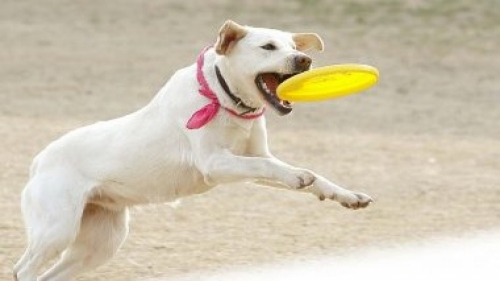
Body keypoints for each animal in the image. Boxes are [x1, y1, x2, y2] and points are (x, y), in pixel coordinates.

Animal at [13, 20, 372, 278]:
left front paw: (345, 195)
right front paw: (299, 177)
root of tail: (39, 161)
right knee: (24, 269)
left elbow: (303, 174)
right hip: (58, 230)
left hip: (100, 244)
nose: (305, 59)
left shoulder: (251, 159)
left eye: (294, 46)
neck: (225, 100)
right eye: (268, 47)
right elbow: (275, 169)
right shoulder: (216, 163)